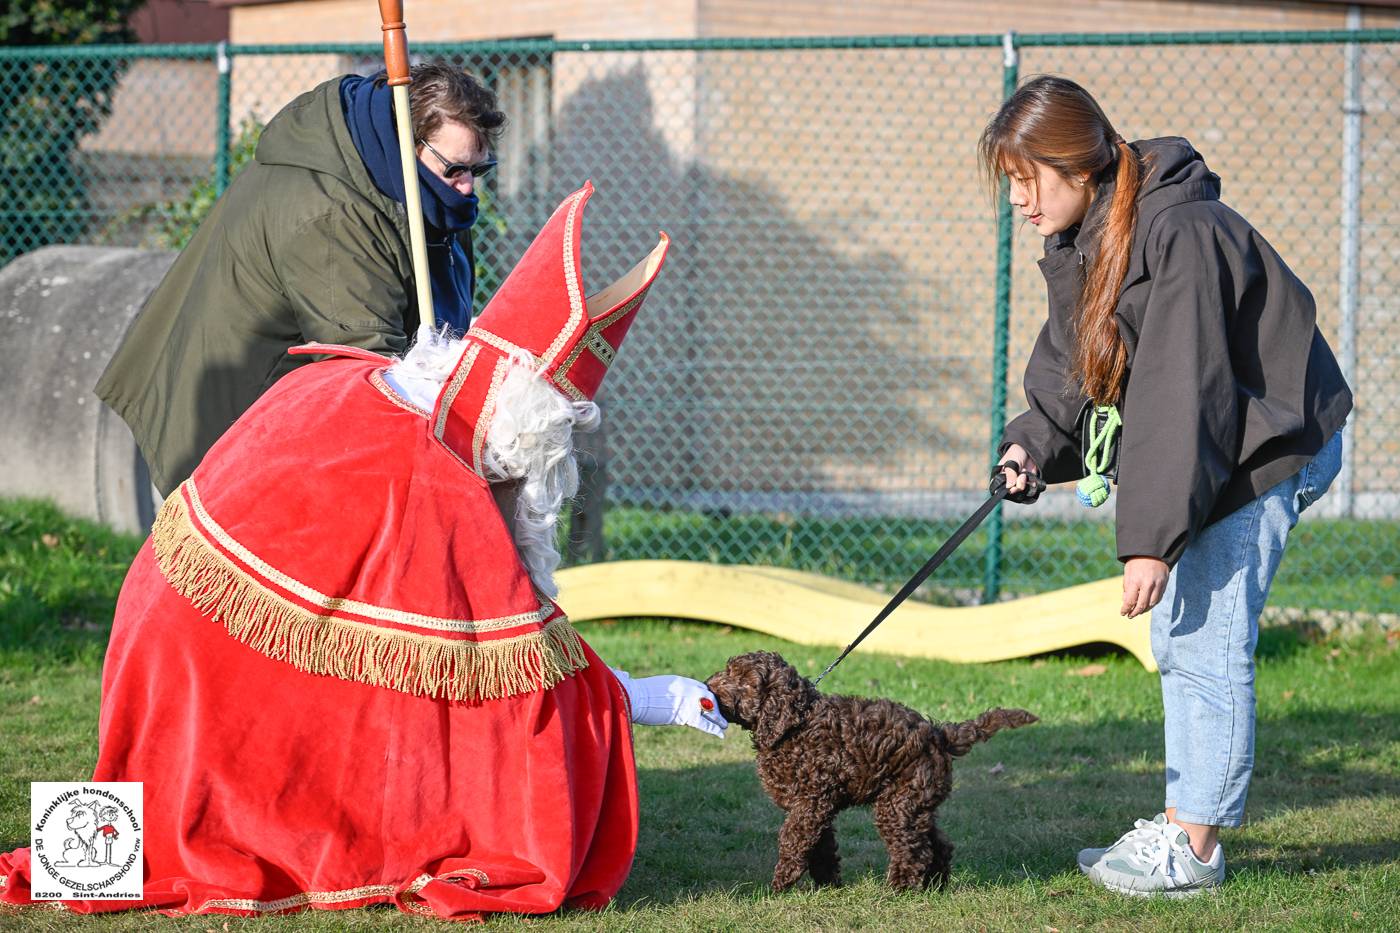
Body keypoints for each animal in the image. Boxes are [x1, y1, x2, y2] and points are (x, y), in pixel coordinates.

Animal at [705, 650, 1036, 890]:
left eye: (744, 680)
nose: (708, 685)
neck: (794, 726)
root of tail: (939, 734)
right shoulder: (818, 806)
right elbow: (822, 845)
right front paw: (829, 885)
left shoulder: (810, 803)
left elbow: (793, 839)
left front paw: (781, 883)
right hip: (916, 805)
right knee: (938, 844)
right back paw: (936, 886)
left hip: (897, 805)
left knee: (914, 851)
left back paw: (897, 891)